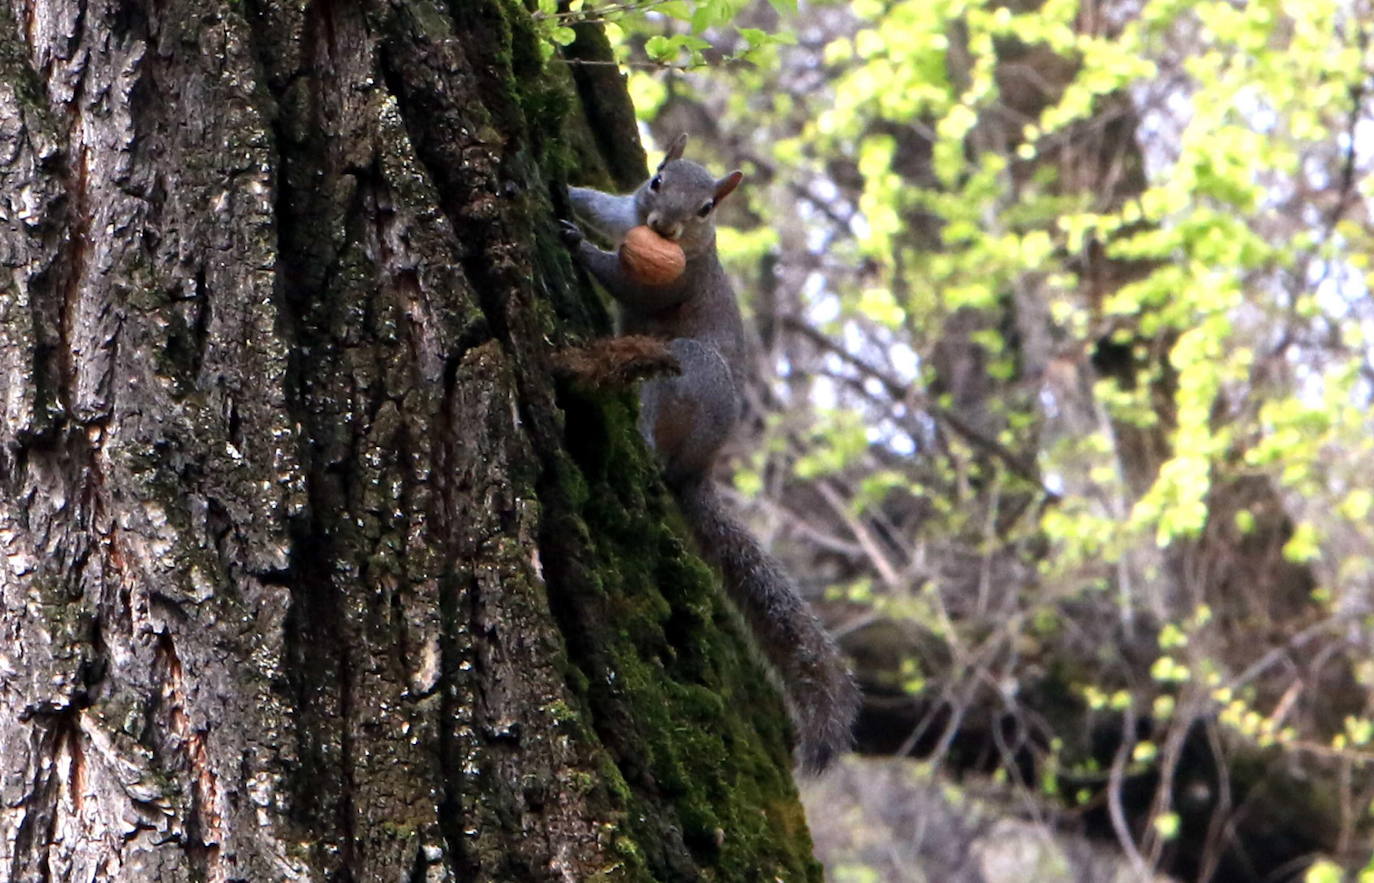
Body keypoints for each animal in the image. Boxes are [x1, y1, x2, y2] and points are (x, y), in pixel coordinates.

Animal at [557, 133, 857, 774]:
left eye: (707, 209)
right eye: (657, 181)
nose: (663, 227)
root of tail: (700, 468)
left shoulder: (672, 281)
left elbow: (626, 281)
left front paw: (577, 244)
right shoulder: (625, 210)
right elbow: (600, 203)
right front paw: (567, 194)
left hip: (686, 372)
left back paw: (644, 443)